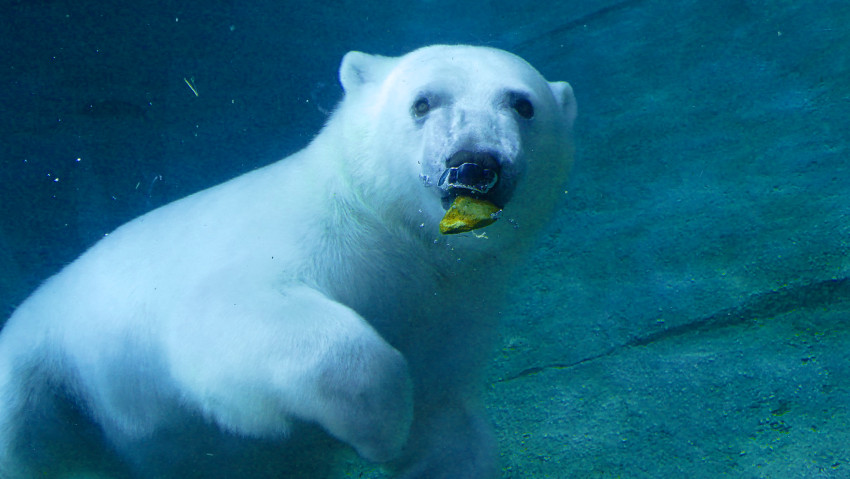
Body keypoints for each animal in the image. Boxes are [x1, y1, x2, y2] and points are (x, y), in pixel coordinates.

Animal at [0, 43, 576, 478]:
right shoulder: (297, 243)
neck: (399, 239)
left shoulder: (449, 315)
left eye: (522, 104)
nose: (474, 164)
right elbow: (240, 318)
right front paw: (382, 428)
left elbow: (448, 429)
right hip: (43, 368)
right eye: (422, 103)